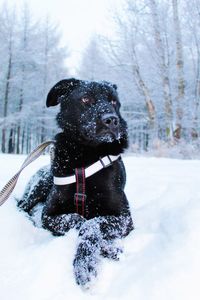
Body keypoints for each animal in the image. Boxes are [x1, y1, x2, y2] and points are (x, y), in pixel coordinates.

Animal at [18, 79, 134, 288]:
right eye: (86, 99)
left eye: (114, 101)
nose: (111, 120)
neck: (86, 156)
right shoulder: (49, 215)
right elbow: (79, 219)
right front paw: (95, 255)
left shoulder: (124, 217)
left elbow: (92, 223)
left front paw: (90, 259)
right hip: (40, 184)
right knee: (23, 207)